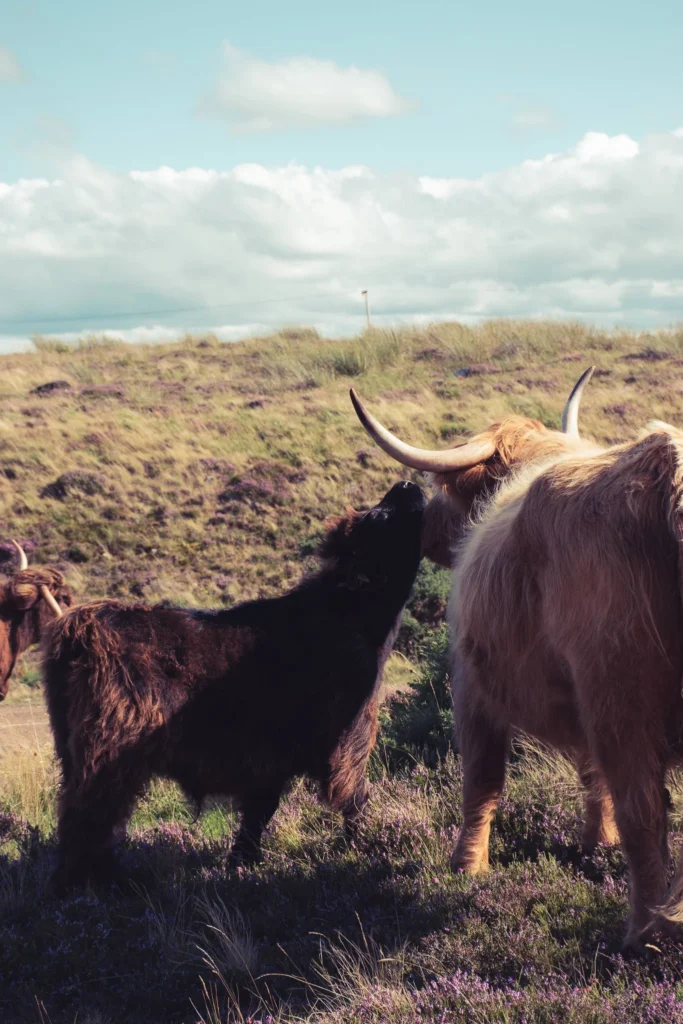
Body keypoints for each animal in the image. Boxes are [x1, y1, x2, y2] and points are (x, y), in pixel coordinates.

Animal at [42, 481, 426, 890]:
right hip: (107, 750)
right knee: (87, 814)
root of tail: (79, 625)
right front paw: (366, 849)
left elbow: (260, 813)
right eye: (381, 517)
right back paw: (84, 886)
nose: (407, 485)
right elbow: (354, 801)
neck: (352, 616)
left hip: (75, 750)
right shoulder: (346, 743)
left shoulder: (270, 761)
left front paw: (243, 863)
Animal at [350, 373, 683, 948]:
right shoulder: (577, 699)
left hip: (620, 698)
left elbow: (481, 781)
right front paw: (595, 842)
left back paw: (643, 935)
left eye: (444, 493)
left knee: (643, 809)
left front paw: (466, 869)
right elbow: (590, 774)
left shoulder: (471, 683)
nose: (425, 527)